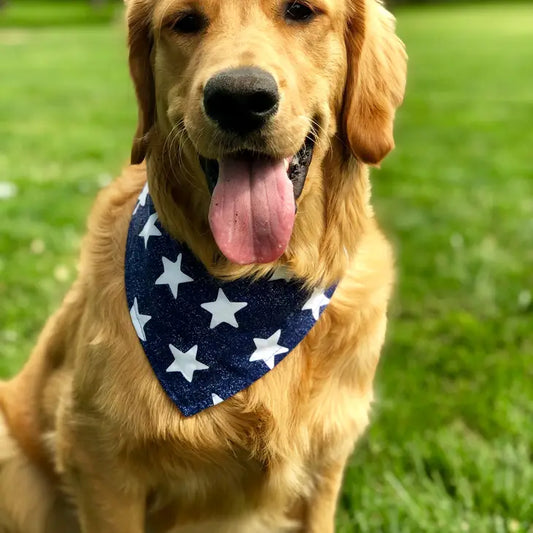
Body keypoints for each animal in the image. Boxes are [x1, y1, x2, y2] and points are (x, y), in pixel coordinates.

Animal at [0, 1, 406, 528]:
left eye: (300, 11)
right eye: (186, 21)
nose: (239, 100)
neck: (251, 283)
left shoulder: (326, 462)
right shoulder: (98, 459)